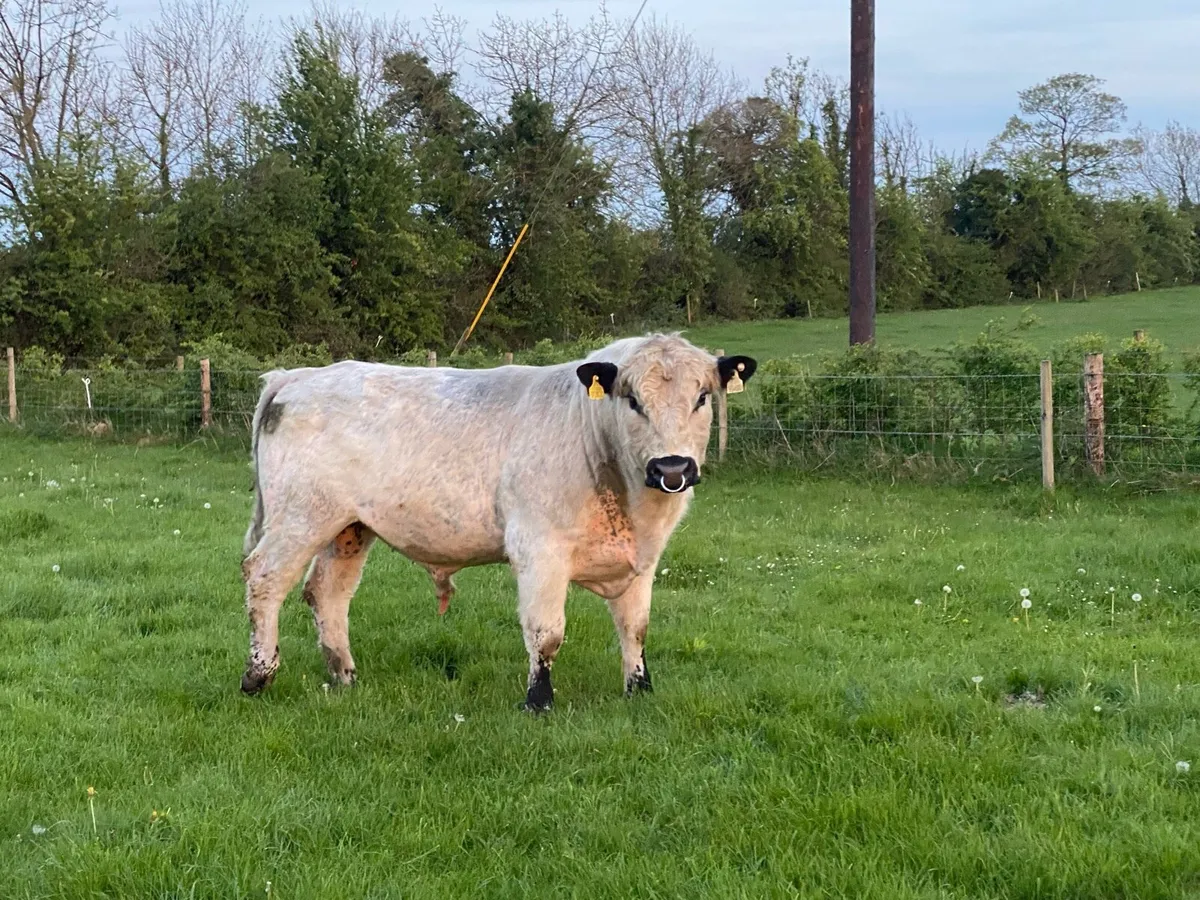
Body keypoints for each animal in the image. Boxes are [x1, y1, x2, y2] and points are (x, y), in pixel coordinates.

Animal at [239, 333, 757, 711]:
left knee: (327, 592)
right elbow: (547, 632)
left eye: (702, 398)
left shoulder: (642, 559)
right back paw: (258, 675)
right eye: (631, 400)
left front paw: (639, 689)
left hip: (348, 527)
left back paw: (345, 675)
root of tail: (302, 375)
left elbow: (636, 628)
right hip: (300, 518)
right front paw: (538, 701)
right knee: (264, 578)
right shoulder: (538, 550)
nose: (672, 468)